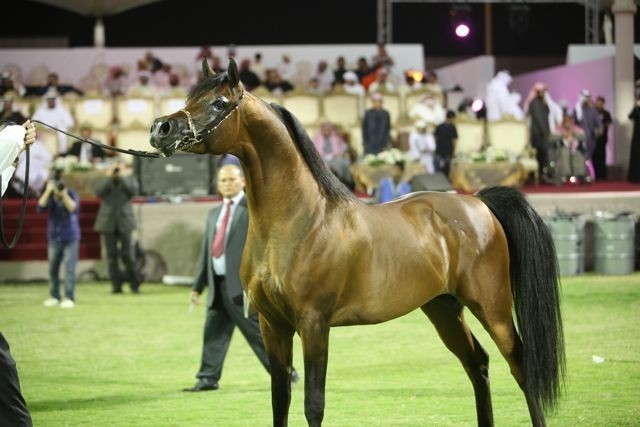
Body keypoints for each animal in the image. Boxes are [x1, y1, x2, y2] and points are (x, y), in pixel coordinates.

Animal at [150, 59, 564, 427]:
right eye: (190, 97)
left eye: (219, 103)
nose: (161, 128)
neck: (299, 221)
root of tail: (477, 202)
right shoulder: (272, 325)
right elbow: (280, 400)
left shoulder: (314, 324)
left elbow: (313, 404)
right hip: (444, 308)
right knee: (477, 363)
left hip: (491, 306)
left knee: (520, 364)